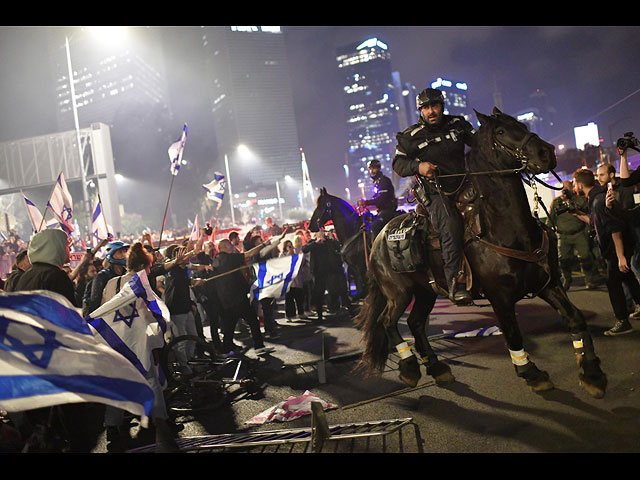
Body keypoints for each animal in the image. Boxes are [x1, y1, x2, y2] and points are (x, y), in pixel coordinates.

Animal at [358, 108, 608, 398]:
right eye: (500, 132)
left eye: (522, 125)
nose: (546, 153)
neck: (507, 229)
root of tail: (378, 238)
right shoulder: (499, 298)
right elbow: (513, 334)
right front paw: (531, 373)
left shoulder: (548, 284)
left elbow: (575, 318)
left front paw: (592, 374)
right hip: (398, 293)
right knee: (387, 321)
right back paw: (409, 368)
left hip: (425, 291)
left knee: (416, 324)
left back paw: (437, 368)